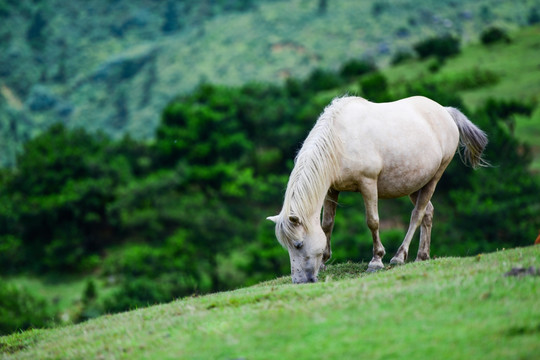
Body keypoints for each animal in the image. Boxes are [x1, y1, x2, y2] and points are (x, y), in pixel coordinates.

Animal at [268, 96, 488, 284]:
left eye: (298, 244)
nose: (299, 281)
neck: (340, 140)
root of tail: (445, 111)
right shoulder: (331, 189)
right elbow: (327, 224)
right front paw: (323, 261)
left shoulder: (368, 183)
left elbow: (372, 221)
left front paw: (376, 260)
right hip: (415, 183)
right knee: (428, 213)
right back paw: (422, 256)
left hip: (434, 178)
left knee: (417, 215)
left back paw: (399, 256)